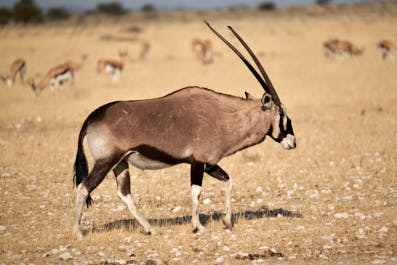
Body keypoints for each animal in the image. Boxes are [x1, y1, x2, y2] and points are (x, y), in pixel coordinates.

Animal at [71, 21, 296, 238]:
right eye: (282, 114)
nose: (292, 142)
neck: (222, 115)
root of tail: (92, 117)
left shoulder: (209, 163)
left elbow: (229, 181)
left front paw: (227, 221)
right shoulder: (197, 162)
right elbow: (196, 192)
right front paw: (198, 227)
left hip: (120, 163)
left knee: (124, 194)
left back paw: (150, 228)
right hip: (106, 161)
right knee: (83, 188)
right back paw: (78, 232)